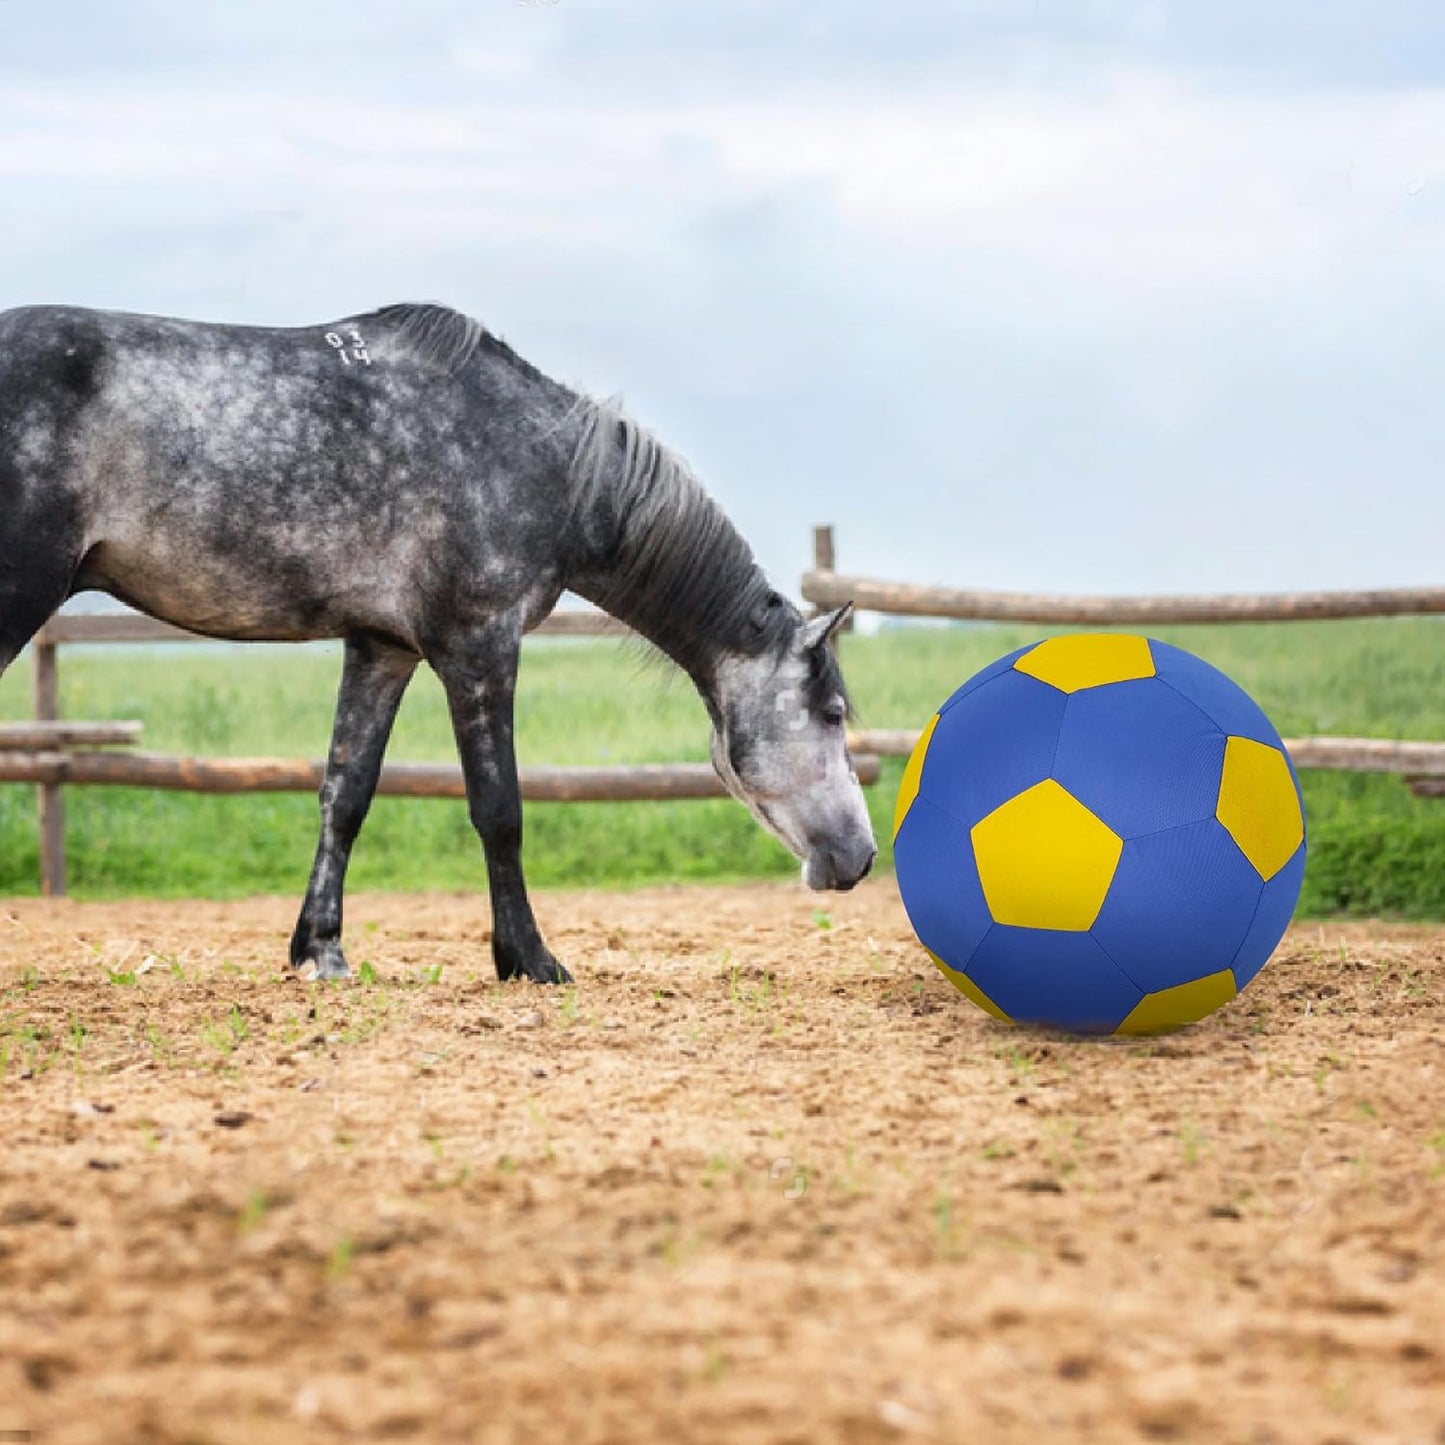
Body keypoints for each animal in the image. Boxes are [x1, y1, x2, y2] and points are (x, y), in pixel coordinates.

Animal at [0, 302, 877, 983]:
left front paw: (320, 950)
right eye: (833, 712)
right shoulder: (478, 644)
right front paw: (529, 958)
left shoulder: (381, 646)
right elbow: (500, 809)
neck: (541, 460)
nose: (863, 857)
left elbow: (345, 794)